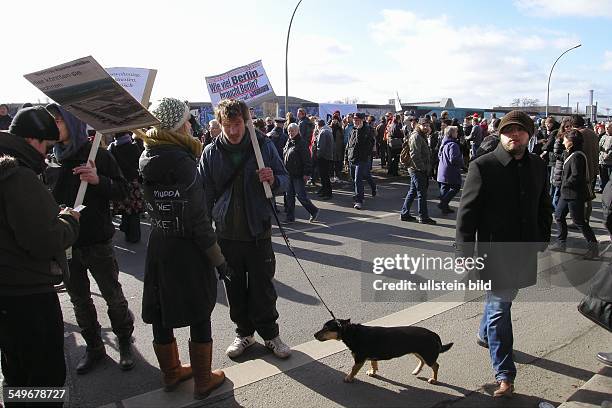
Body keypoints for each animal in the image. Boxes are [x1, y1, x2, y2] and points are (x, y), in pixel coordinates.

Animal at [316, 320, 454, 384]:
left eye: (327, 328)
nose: (314, 335)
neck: (353, 333)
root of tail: (433, 334)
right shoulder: (371, 357)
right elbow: (373, 363)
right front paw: (373, 372)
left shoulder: (359, 359)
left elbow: (353, 369)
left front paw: (349, 378)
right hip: (419, 352)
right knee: (422, 361)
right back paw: (416, 371)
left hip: (427, 354)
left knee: (436, 365)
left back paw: (434, 380)